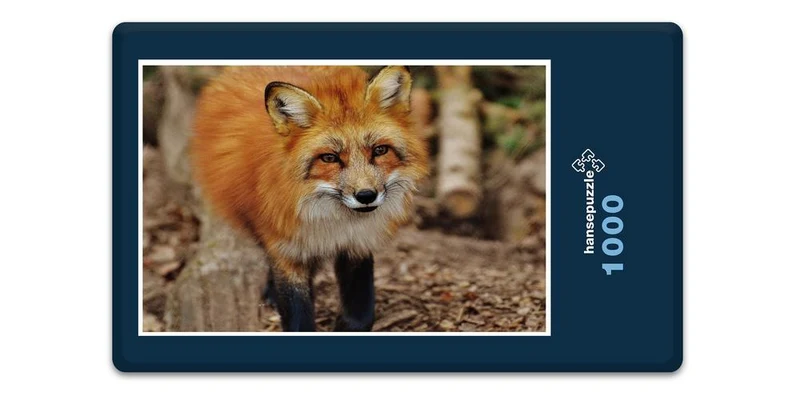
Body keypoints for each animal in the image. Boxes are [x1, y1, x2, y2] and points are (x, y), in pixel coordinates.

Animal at [191, 66, 428, 332]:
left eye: (379, 150)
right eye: (330, 158)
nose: (366, 196)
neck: (333, 220)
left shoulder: (358, 243)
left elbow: (360, 313)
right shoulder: (286, 248)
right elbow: (297, 312)